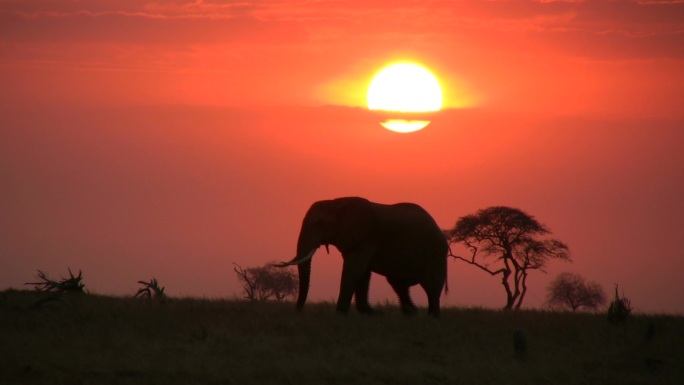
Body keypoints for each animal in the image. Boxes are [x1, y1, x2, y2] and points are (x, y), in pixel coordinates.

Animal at [276, 196, 452, 316]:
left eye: (319, 224)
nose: (298, 311)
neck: (336, 203)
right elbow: (363, 273)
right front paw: (370, 313)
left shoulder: (366, 238)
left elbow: (354, 270)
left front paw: (340, 314)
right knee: (398, 284)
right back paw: (411, 312)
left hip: (435, 254)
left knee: (431, 287)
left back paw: (432, 317)